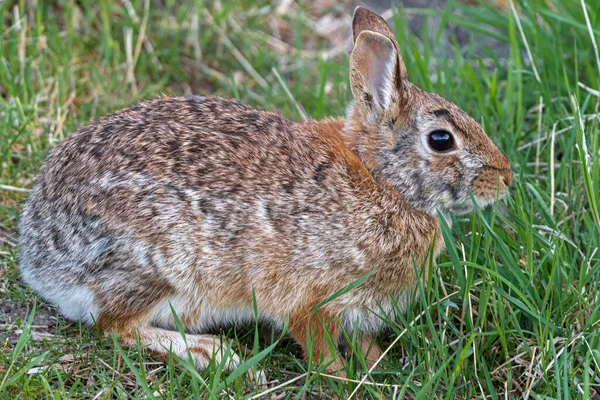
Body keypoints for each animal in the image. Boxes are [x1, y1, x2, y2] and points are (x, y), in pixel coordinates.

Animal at [17, 6, 510, 376]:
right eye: (441, 140)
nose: (505, 177)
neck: (380, 178)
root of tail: (37, 259)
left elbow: (364, 341)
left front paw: (376, 365)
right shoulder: (311, 295)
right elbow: (317, 344)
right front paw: (344, 378)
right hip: (160, 263)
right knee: (115, 327)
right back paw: (211, 352)